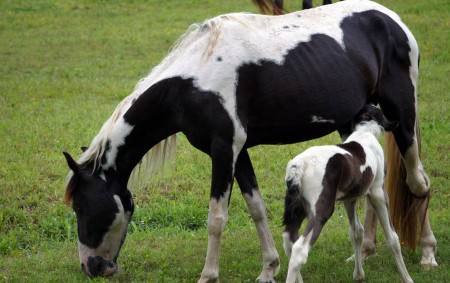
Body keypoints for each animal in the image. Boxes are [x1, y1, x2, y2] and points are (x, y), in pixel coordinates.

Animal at [284, 104, 414, 283]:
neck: (365, 131)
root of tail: (298, 166)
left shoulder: (349, 198)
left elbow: (356, 232)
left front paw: (358, 275)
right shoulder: (378, 192)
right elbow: (392, 237)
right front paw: (407, 278)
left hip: (298, 208)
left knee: (289, 240)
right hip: (321, 210)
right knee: (299, 249)